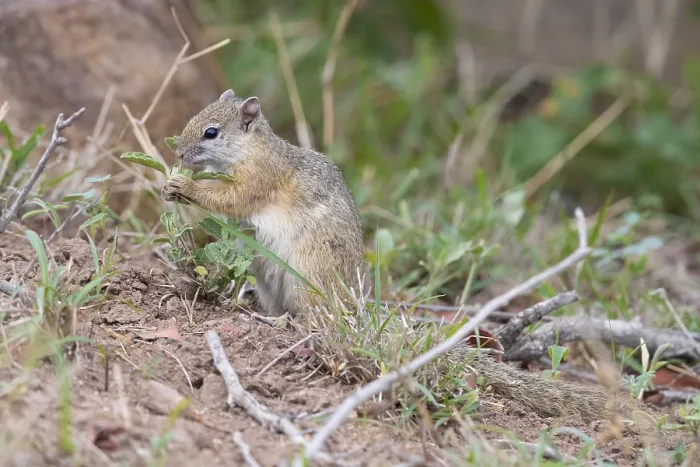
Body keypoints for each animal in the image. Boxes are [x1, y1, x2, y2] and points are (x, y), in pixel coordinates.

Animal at [161, 89, 365, 317]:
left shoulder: (257, 179)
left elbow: (232, 199)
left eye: (211, 132)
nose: (179, 153)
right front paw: (170, 190)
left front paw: (186, 186)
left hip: (310, 271)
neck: (249, 149)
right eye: (194, 117)